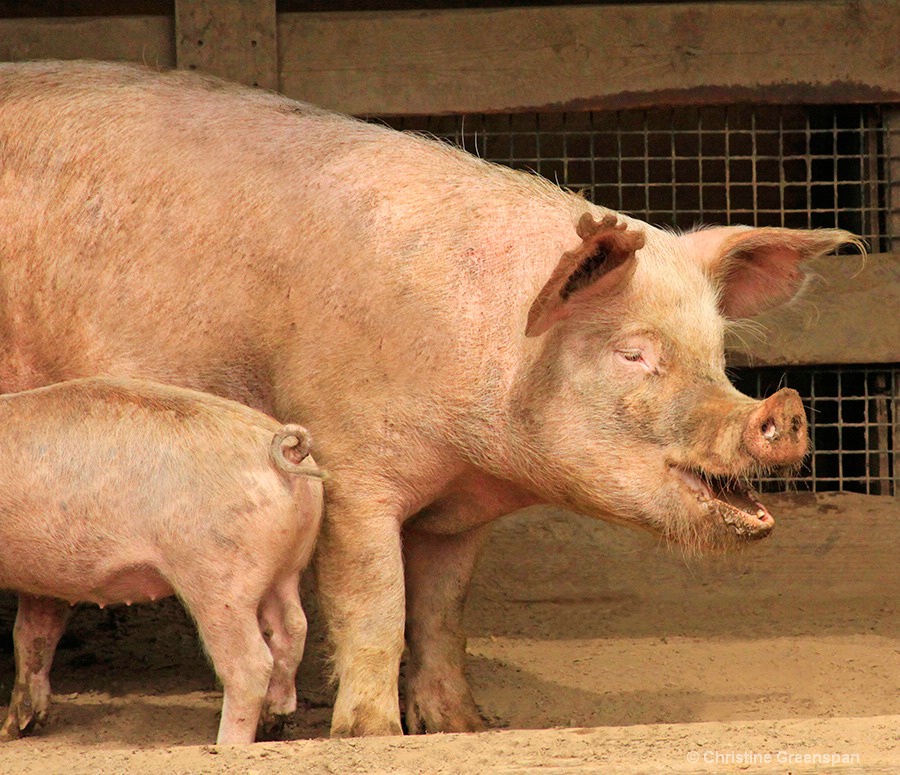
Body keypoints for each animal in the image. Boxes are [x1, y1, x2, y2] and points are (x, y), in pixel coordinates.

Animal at [0, 376, 324, 744]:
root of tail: (286, 451)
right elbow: (30, 634)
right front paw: (12, 732)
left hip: (217, 577)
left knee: (250, 663)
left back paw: (226, 745)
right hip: (286, 569)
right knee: (292, 628)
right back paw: (275, 720)